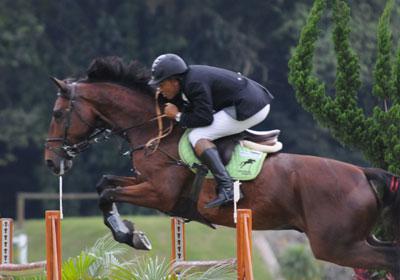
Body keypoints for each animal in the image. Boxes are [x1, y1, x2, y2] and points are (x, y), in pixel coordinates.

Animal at [44, 57, 400, 276]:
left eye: (58, 114)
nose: (52, 161)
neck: (154, 131)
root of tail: (363, 174)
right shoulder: (145, 183)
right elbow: (105, 184)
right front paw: (131, 232)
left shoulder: (159, 193)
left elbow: (107, 193)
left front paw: (130, 235)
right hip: (357, 240)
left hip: (336, 245)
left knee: (388, 260)